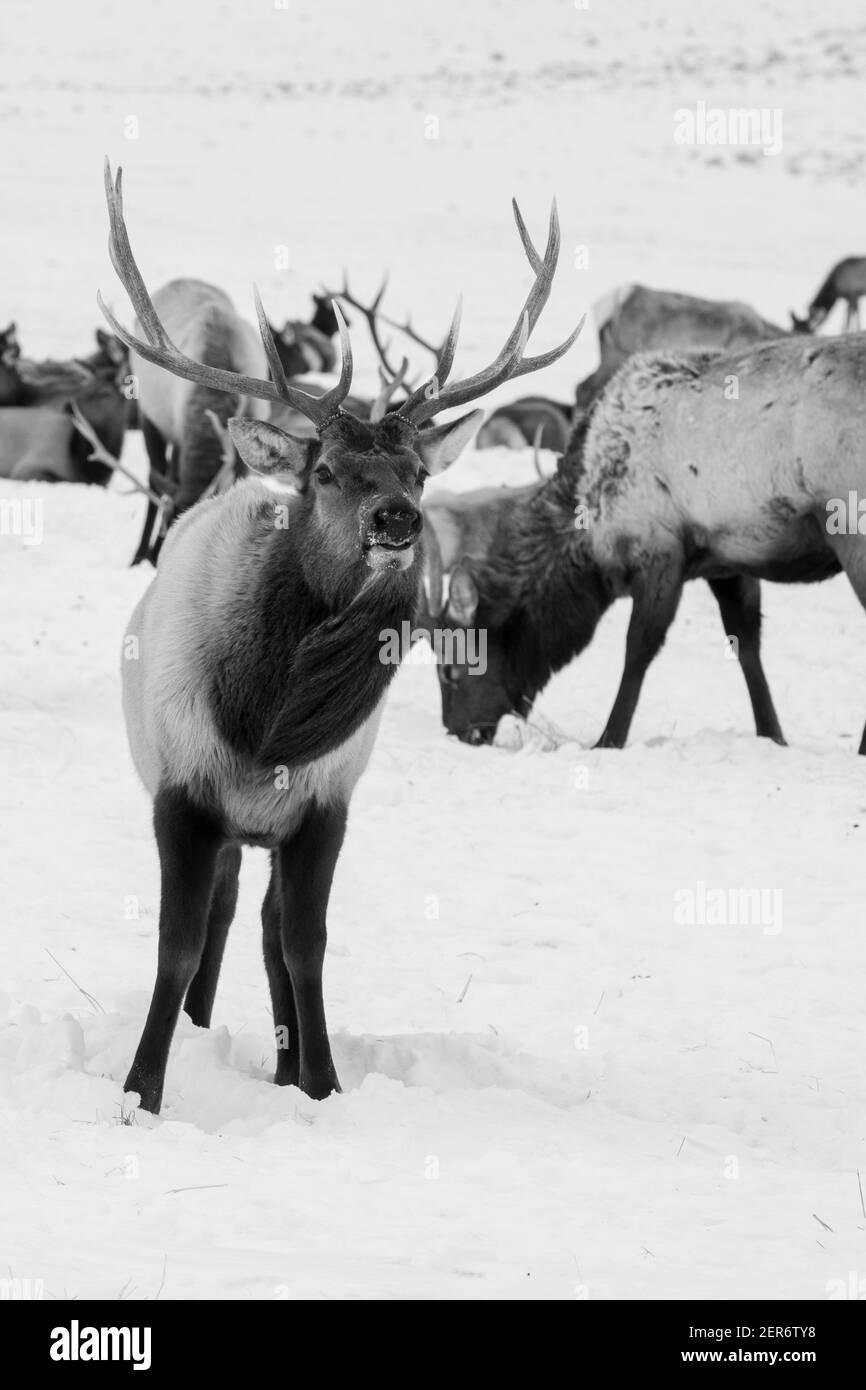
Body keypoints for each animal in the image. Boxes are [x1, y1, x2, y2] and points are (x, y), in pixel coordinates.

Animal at [97, 159, 578, 1117]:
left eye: (420, 470)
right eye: (324, 471)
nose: (396, 518)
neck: (265, 726)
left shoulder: (326, 801)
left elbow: (304, 945)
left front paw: (319, 1083)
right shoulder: (181, 789)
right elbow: (177, 944)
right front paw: (142, 1092)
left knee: (265, 924)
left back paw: (279, 1063)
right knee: (223, 914)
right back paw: (200, 1032)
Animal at [430, 326, 866, 756]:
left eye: (451, 668)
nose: (457, 731)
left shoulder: (659, 549)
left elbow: (638, 647)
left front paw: (608, 739)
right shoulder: (728, 556)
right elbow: (746, 644)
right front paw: (772, 735)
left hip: (848, 526)